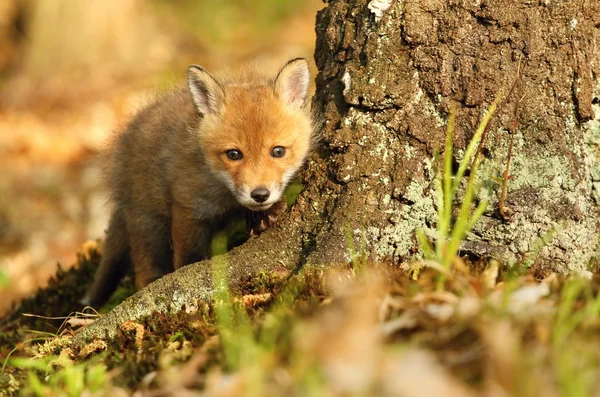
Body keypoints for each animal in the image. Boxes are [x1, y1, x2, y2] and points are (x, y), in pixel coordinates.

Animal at [84, 58, 322, 306]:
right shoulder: (187, 209)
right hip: (146, 220)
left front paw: (263, 217)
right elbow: (189, 257)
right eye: (233, 154)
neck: (224, 195)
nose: (259, 194)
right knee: (144, 264)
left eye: (278, 151)